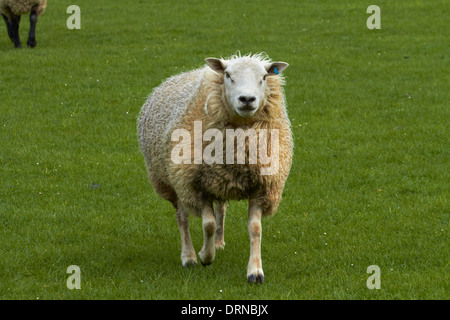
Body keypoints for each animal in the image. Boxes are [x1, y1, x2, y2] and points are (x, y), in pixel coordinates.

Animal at [137, 52, 294, 282]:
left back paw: (218, 242)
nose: (247, 99)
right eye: (228, 75)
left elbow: (255, 229)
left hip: (219, 181)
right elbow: (208, 224)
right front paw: (205, 256)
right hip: (173, 181)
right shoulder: (196, 185)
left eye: (264, 76)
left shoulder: (263, 186)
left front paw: (255, 271)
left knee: (221, 208)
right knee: (183, 218)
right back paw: (189, 257)